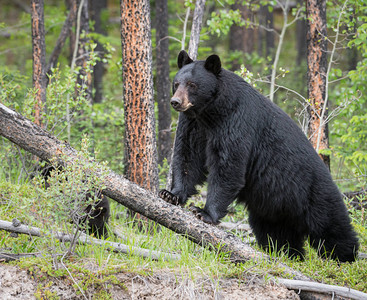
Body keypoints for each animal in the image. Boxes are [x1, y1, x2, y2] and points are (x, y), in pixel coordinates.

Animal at [160, 50, 360, 262]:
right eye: (176, 83)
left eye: (192, 85)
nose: (176, 102)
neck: (211, 112)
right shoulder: (193, 125)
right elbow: (187, 156)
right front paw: (171, 194)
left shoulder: (236, 120)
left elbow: (228, 166)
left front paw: (204, 213)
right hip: (271, 208)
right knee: (276, 234)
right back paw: (288, 254)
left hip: (315, 194)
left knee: (331, 226)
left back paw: (345, 255)